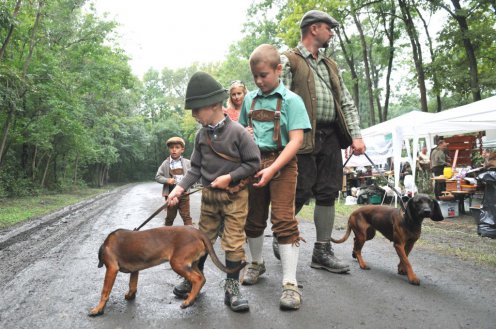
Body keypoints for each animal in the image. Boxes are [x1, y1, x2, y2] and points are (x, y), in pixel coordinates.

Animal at [89, 224, 246, 314]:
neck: (106, 244)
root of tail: (198, 232)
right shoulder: (135, 270)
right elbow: (132, 285)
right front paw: (130, 296)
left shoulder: (111, 269)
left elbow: (104, 291)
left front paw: (98, 309)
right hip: (191, 264)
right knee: (202, 278)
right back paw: (192, 297)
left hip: (177, 263)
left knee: (197, 279)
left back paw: (188, 302)